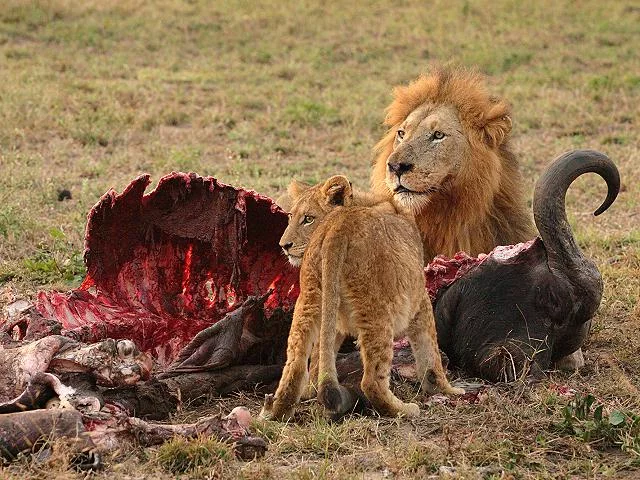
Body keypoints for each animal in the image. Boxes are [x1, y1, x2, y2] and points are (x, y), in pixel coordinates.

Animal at [260, 176, 464, 420]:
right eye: (292, 217)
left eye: (307, 219)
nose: (283, 245)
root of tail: (338, 226)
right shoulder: (419, 298)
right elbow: (430, 352)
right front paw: (446, 389)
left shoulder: (334, 316)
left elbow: (321, 355)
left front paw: (312, 389)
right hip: (377, 309)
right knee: (372, 382)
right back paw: (403, 409)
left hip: (309, 300)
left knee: (295, 364)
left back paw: (278, 411)